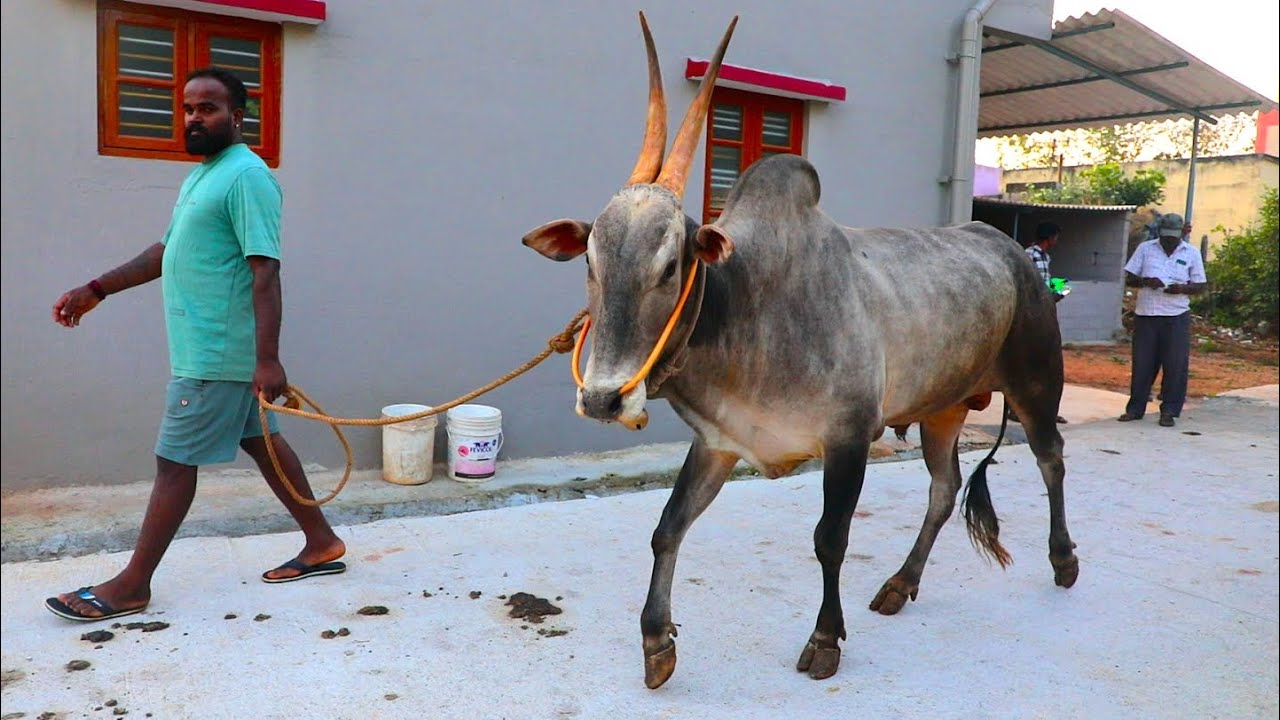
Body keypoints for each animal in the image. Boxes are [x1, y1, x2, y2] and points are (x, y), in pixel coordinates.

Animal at [521, 14, 1079, 689]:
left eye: (671, 265)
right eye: (591, 260)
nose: (604, 398)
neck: (748, 306)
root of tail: (1007, 246)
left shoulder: (848, 438)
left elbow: (829, 539)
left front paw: (825, 639)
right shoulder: (719, 441)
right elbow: (667, 528)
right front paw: (656, 641)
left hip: (1036, 383)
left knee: (1051, 458)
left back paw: (1062, 560)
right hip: (942, 409)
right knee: (944, 490)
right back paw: (901, 583)